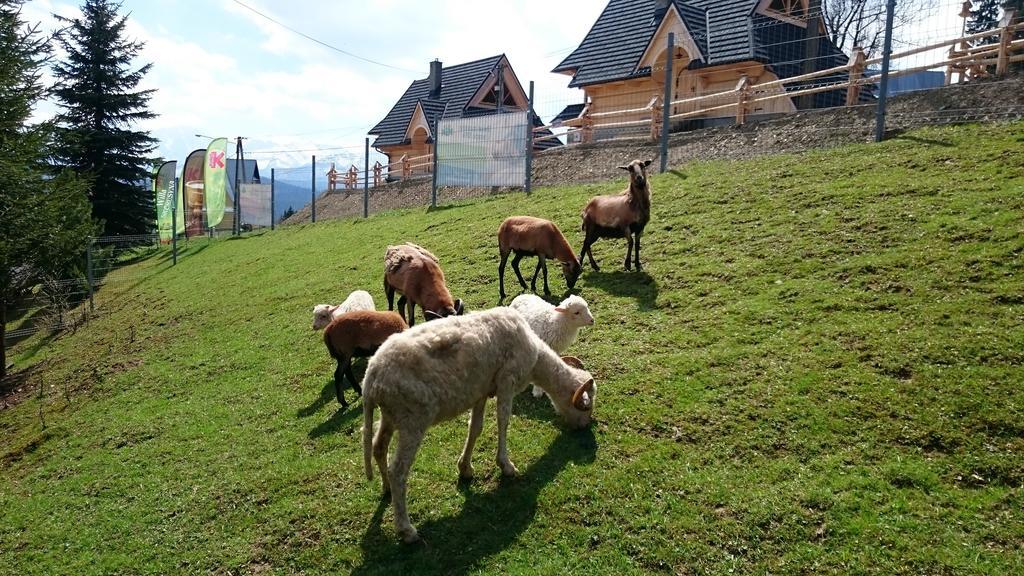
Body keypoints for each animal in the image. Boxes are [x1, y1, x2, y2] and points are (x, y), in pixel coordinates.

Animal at [362, 307, 598, 541]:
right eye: (586, 406)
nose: (584, 427)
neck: (536, 359)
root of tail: (371, 377)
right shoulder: (507, 380)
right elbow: (503, 420)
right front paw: (506, 466)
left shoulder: (481, 391)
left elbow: (476, 428)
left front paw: (465, 468)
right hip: (413, 419)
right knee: (398, 470)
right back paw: (406, 529)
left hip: (390, 415)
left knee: (378, 447)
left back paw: (387, 490)